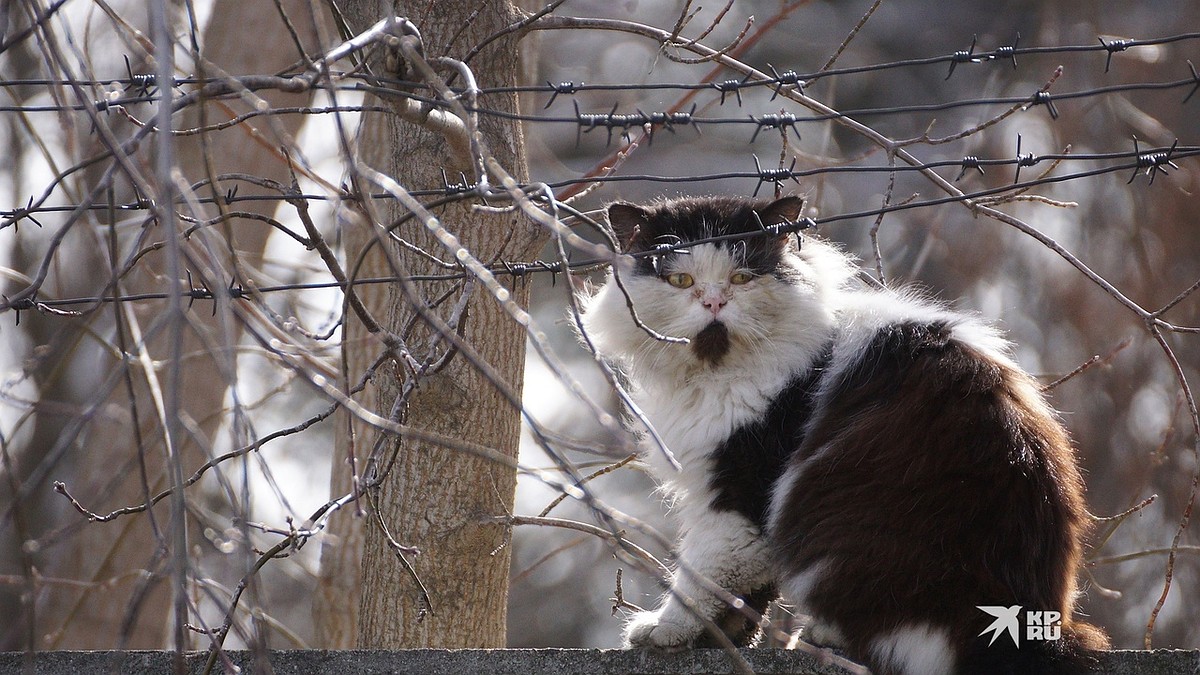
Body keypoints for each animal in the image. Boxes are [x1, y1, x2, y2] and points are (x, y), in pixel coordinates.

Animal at [576, 194, 1108, 672]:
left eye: (742, 277)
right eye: (679, 280)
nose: (713, 302)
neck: (713, 378)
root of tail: (1034, 632)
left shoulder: (741, 492)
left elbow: (703, 575)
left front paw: (666, 631)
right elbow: (747, 596)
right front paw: (726, 642)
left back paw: (823, 638)